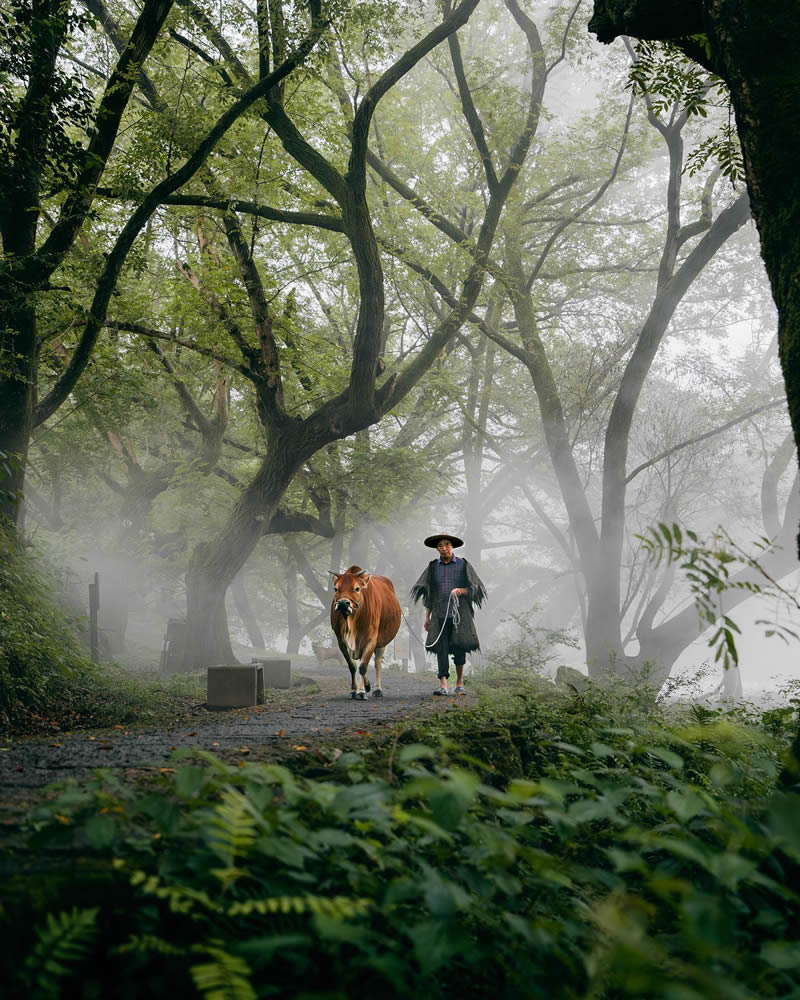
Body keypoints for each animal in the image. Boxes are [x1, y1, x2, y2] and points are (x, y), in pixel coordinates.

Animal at [332, 568, 404, 700]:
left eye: (357, 588)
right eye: (336, 588)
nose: (343, 603)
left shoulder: (371, 640)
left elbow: (363, 667)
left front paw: (361, 692)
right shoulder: (341, 642)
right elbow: (353, 666)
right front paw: (355, 690)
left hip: (382, 641)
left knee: (377, 662)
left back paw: (377, 689)